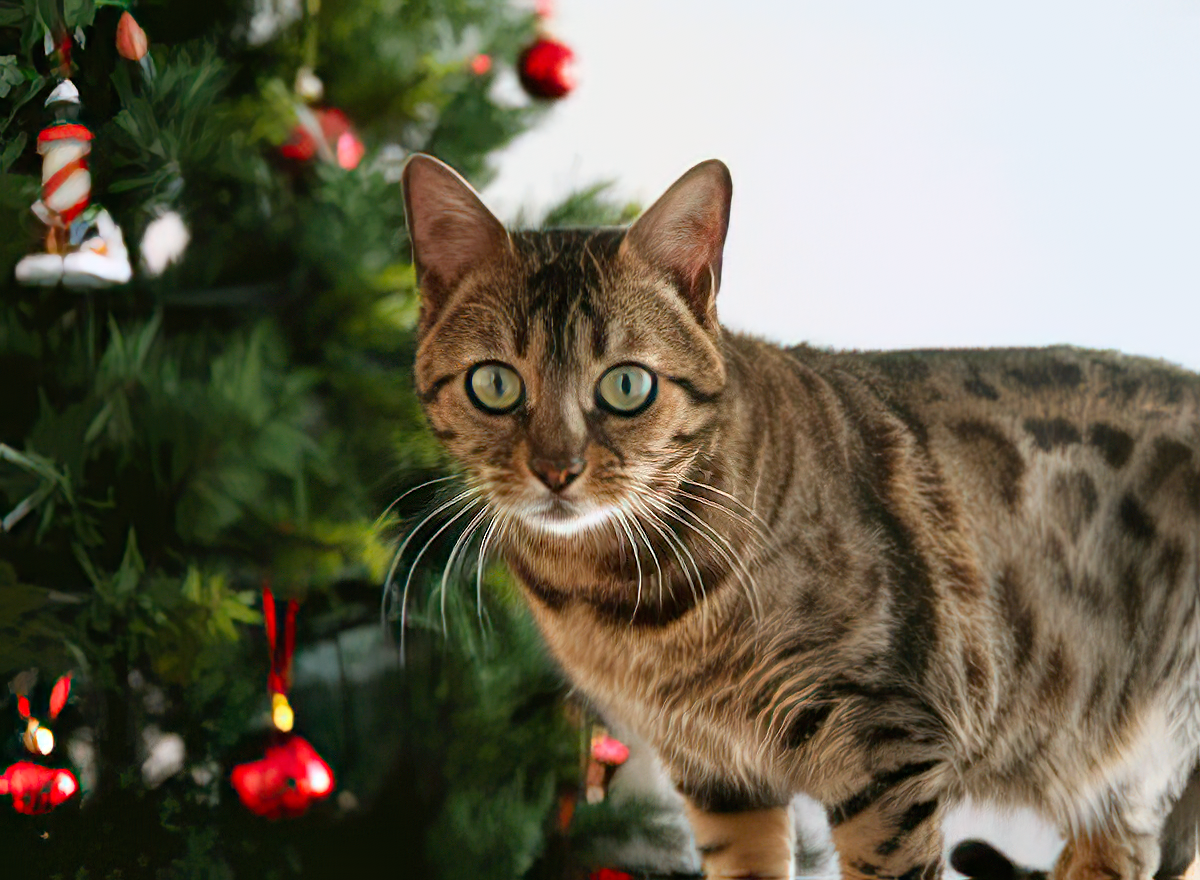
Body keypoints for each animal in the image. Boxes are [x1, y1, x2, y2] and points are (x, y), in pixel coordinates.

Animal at [400, 152, 1200, 878]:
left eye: (626, 386)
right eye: (495, 384)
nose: (557, 469)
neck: (624, 609)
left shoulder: (883, 750)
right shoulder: (718, 774)